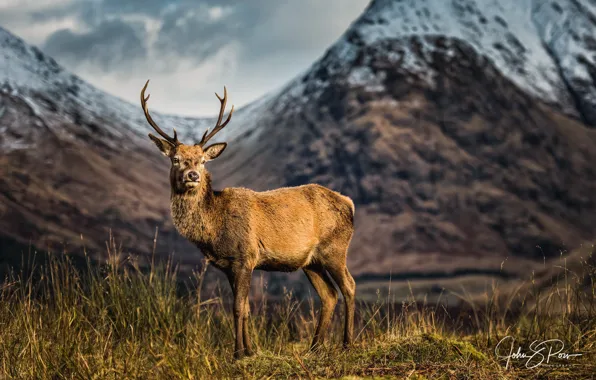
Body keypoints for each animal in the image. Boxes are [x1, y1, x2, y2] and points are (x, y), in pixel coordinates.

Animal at [140, 80, 354, 360]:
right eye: (175, 159)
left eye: (203, 160)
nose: (192, 175)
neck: (214, 229)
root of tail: (349, 203)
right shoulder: (229, 265)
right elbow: (246, 309)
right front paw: (250, 350)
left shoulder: (245, 257)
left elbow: (237, 308)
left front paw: (238, 353)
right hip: (312, 261)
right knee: (328, 295)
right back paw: (315, 347)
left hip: (335, 248)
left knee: (349, 287)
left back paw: (347, 343)